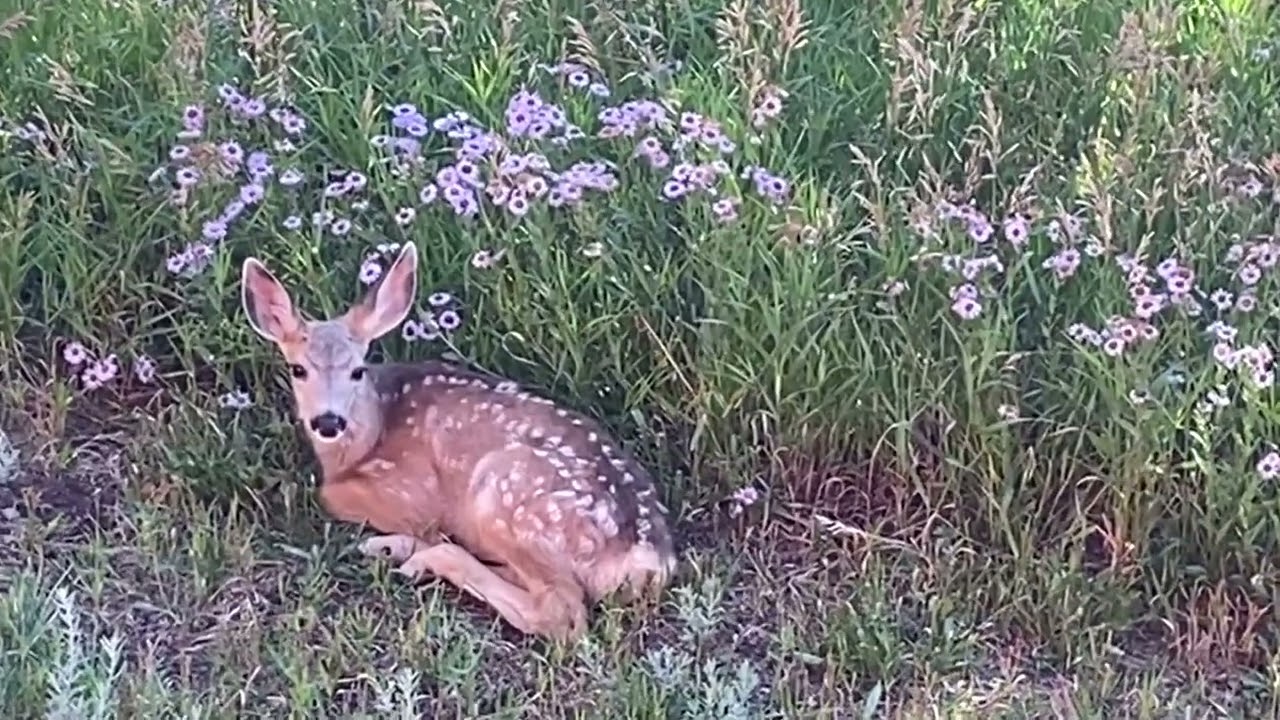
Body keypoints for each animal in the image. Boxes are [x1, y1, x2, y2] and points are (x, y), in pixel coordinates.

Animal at [239, 243, 677, 642]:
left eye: (358, 370)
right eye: (298, 369)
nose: (328, 421)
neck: (367, 438)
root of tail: (646, 560)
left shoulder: (406, 493)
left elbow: (339, 498)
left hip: (506, 494)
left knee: (561, 611)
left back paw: (423, 557)